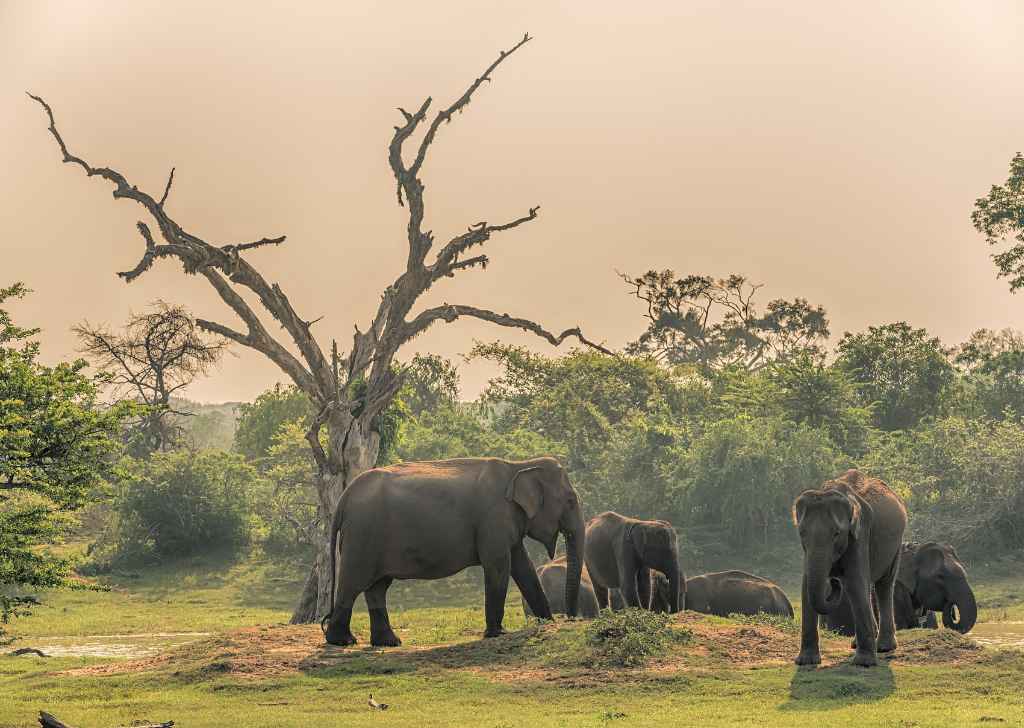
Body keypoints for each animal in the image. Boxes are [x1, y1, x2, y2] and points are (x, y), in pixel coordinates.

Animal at [322, 457, 586, 646]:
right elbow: (498, 566)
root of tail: (345, 497)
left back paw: (389, 642)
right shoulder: (493, 520)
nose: (571, 618)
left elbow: (524, 567)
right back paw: (343, 641)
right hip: (362, 536)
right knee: (353, 583)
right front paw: (497, 633)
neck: (519, 465)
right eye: (571, 501)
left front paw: (547, 623)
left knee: (377, 587)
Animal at [793, 469, 907, 667]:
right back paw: (859, 643)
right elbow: (806, 585)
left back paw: (884, 647)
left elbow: (855, 582)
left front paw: (864, 663)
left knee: (884, 585)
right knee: (867, 586)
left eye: (837, 533)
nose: (833, 581)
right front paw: (805, 661)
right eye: (802, 533)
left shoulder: (860, 533)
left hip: (896, 545)